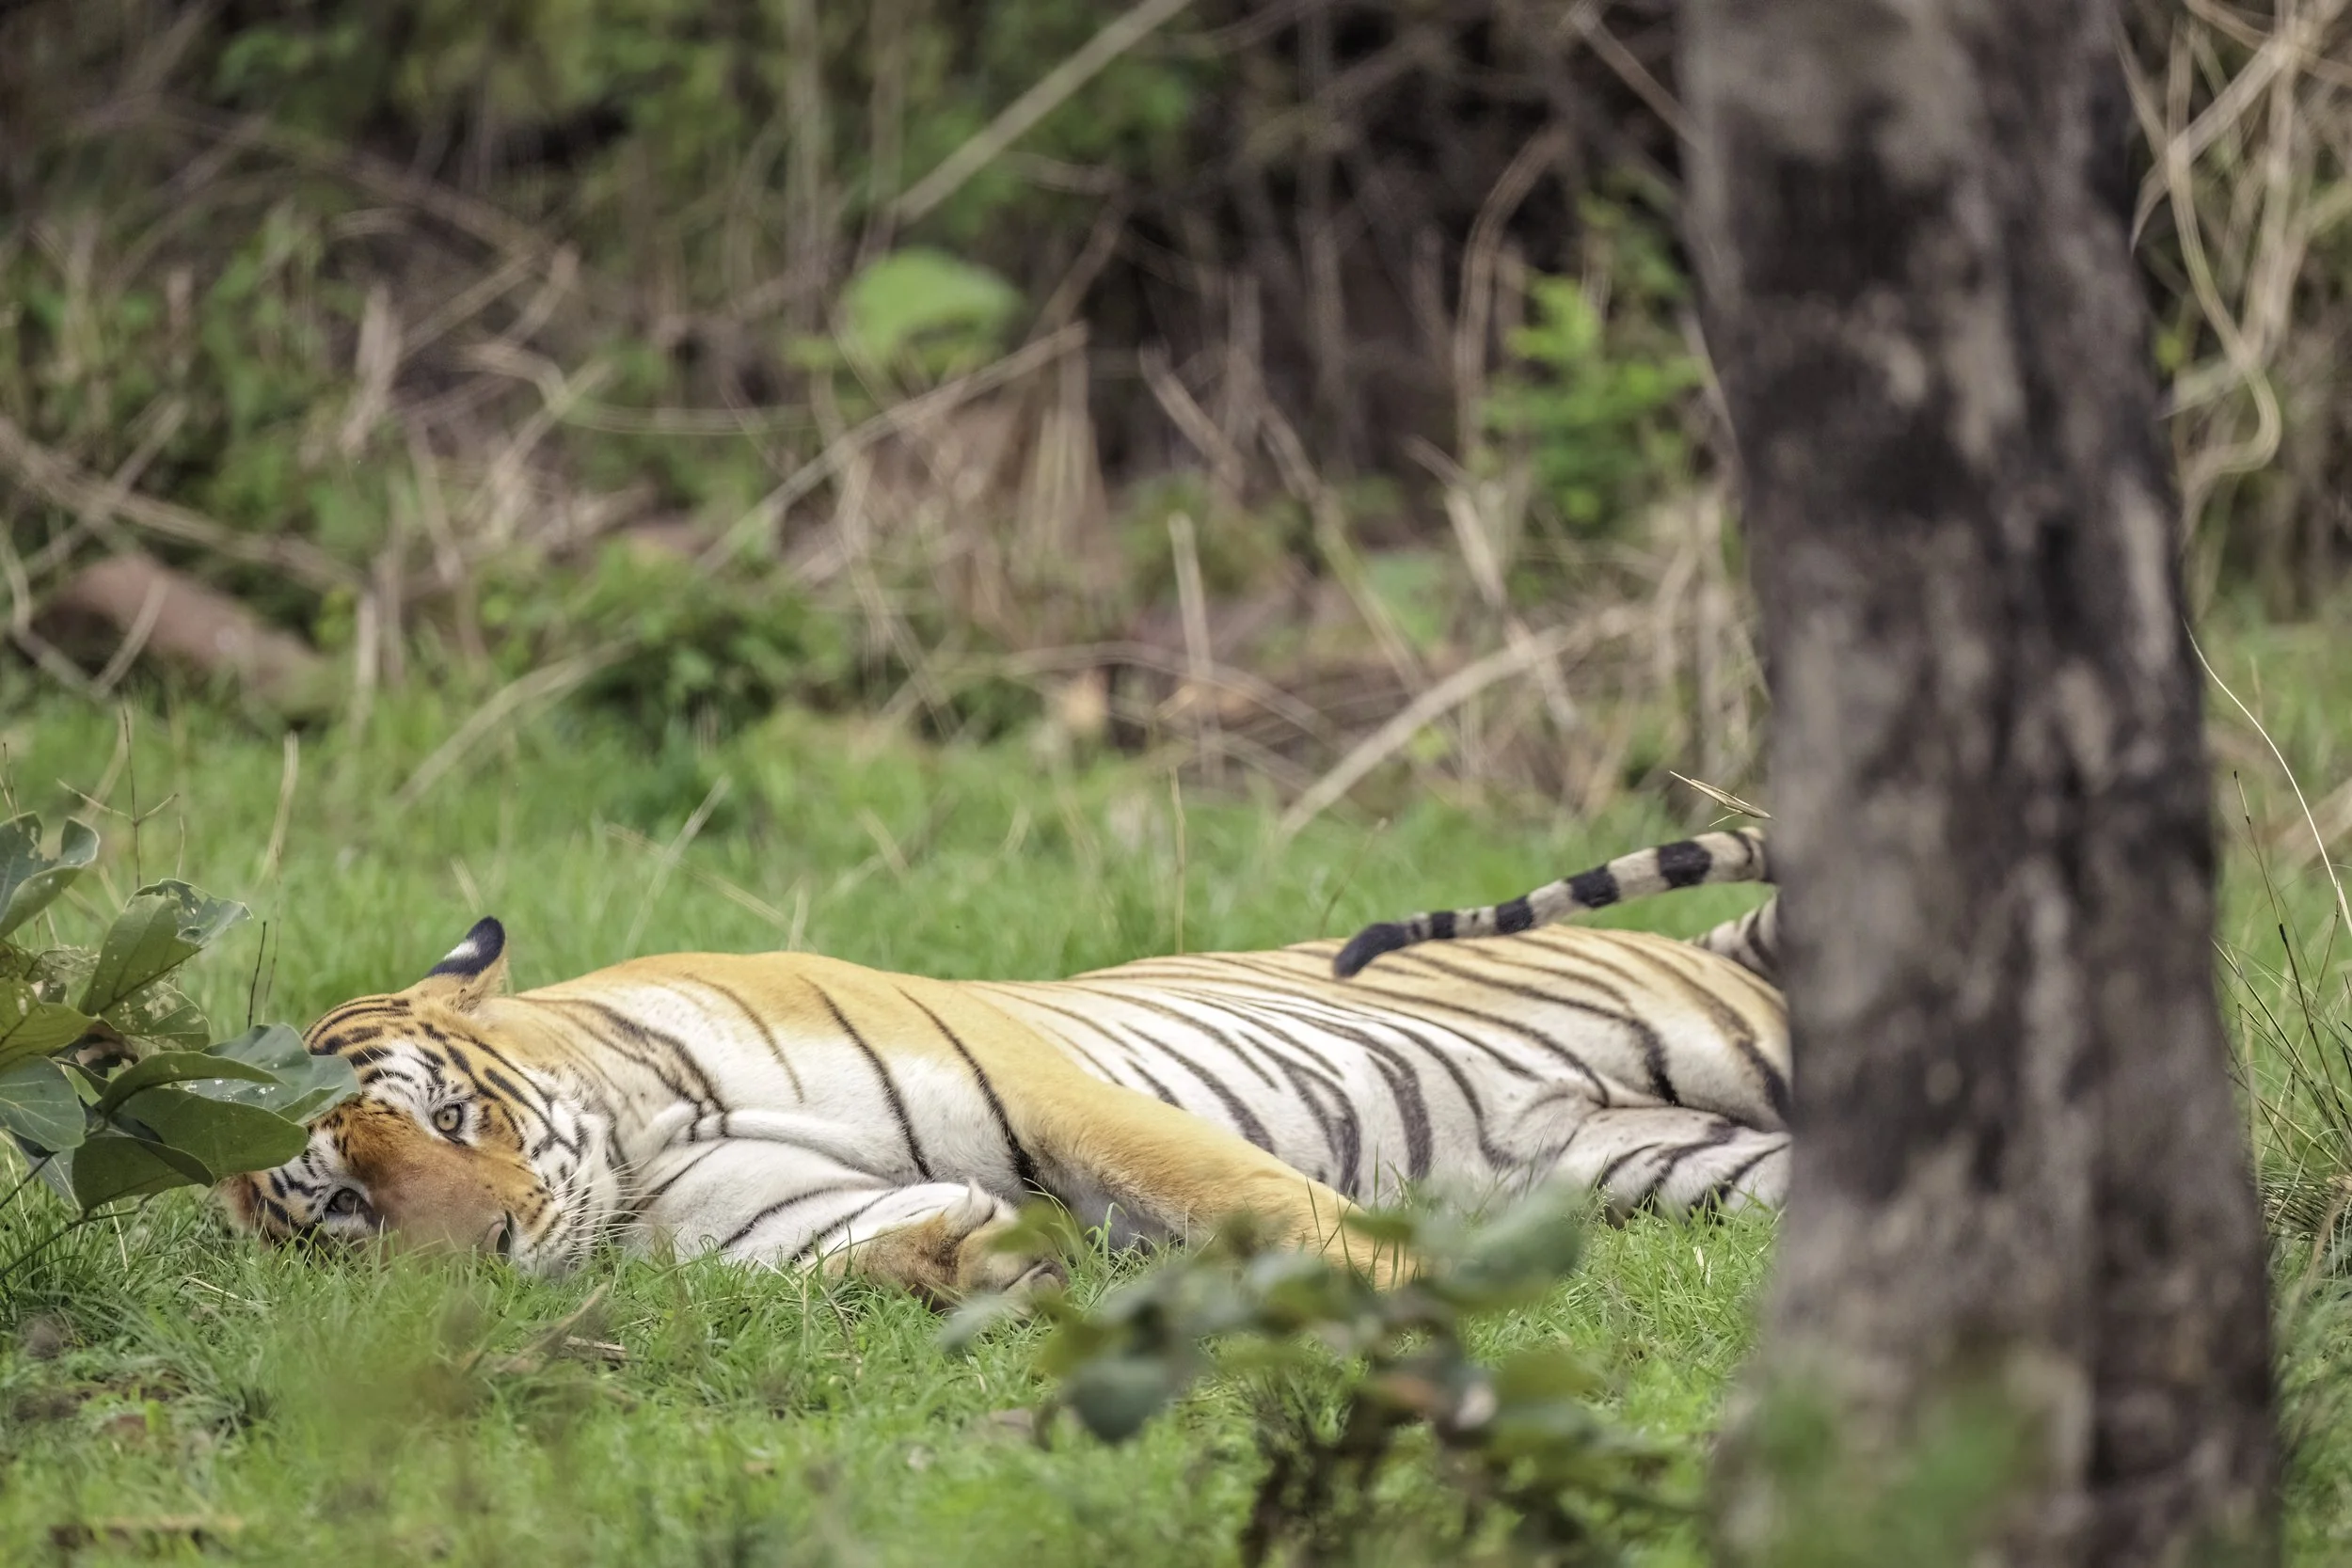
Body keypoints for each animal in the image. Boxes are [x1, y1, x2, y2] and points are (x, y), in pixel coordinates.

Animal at [221, 831, 1789, 1305]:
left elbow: (1241, 1191)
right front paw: (976, 1251)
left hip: (1732, 1049)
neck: (645, 1131)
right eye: (346, 1208)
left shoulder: (1057, 1086)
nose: (479, 1253)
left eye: (453, 1112)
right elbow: (846, 1248)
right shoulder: (753, 1210)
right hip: (1681, 1164)